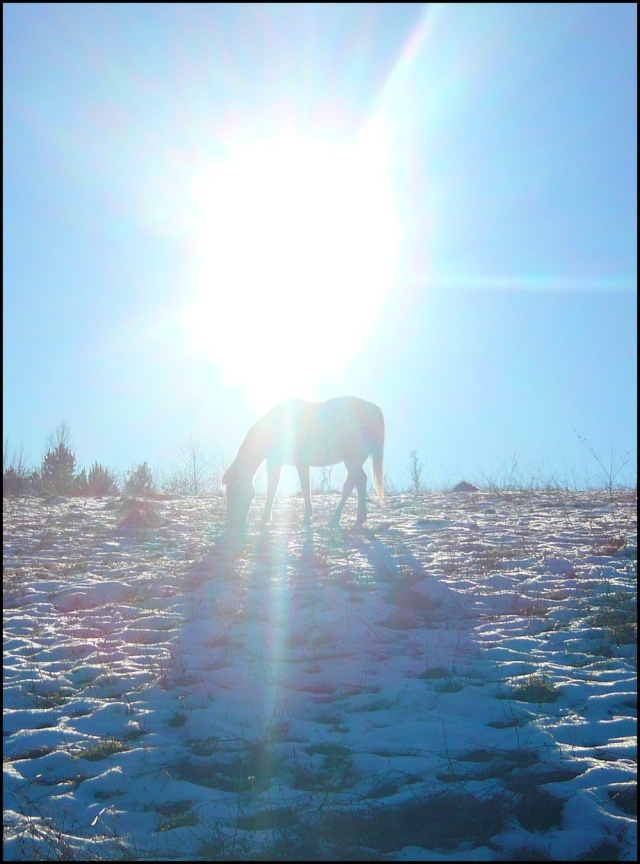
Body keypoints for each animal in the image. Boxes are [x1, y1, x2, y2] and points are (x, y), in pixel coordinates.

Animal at [222, 396, 382, 528]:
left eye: (234, 490)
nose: (232, 520)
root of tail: (374, 410)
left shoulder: (278, 463)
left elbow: (274, 489)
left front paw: (264, 519)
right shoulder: (298, 464)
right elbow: (304, 488)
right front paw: (307, 517)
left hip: (352, 460)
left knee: (358, 481)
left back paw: (353, 520)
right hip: (354, 461)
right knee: (352, 484)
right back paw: (340, 520)